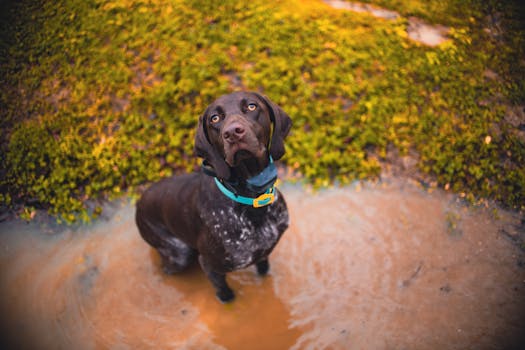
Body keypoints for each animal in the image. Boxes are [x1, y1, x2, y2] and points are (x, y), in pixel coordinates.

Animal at [135, 91, 290, 300]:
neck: (251, 198)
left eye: (251, 106)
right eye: (214, 119)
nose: (232, 133)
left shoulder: (264, 254)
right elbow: (225, 294)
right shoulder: (211, 266)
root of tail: (139, 202)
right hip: (180, 254)